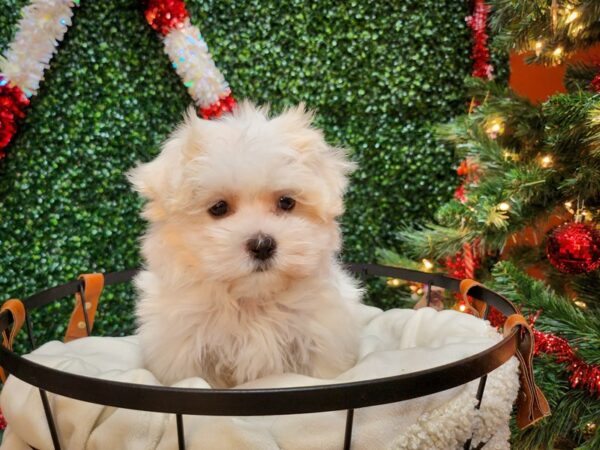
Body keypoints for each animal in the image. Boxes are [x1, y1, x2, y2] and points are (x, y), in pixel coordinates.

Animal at [128, 101, 360, 386]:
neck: (251, 301)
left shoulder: (321, 339)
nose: (262, 245)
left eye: (286, 202)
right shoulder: (186, 354)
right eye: (218, 208)